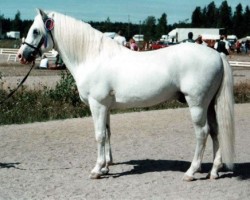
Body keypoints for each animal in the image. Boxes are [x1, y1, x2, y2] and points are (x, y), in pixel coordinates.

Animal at [17, 9, 234, 181]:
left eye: (35, 30)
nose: (21, 55)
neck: (93, 57)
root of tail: (217, 55)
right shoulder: (105, 107)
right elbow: (107, 134)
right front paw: (106, 167)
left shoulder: (97, 105)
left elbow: (99, 135)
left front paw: (96, 170)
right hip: (209, 104)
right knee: (215, 131)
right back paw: (214, 171)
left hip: (197, 104)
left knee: (202, 133)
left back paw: (191, 172)